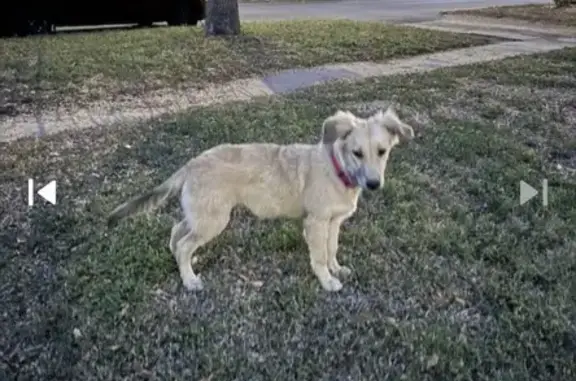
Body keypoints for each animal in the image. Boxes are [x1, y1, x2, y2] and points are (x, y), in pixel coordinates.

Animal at [108, 107, 414, 290]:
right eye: (357, 153)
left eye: (382, 151)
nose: (374, 184)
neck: (336, 168)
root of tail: (191, 164)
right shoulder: (316, 222)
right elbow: (318, 255)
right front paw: (327, 281)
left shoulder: (333, 222)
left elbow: (331, 249)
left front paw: (336, 269)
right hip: (213, 219)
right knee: (184, 244)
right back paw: (190, 281)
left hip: (201, 215)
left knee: (176, 233)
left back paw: (183, 267)